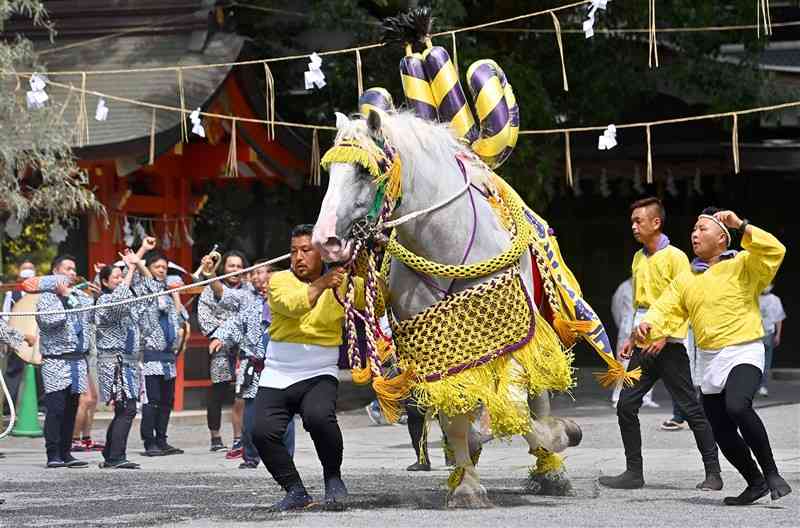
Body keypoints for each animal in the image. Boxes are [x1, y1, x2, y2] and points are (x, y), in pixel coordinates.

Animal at [312, 110, 580, 508]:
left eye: (364, 170)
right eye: (329, 170)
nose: (325, 240)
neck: (447, 245)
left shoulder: (515, 336)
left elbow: (515, 407)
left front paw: (558, 437)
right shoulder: (442, 354)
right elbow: (456, 417)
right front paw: (467, 484)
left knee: (538, 395)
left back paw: (552, 469)